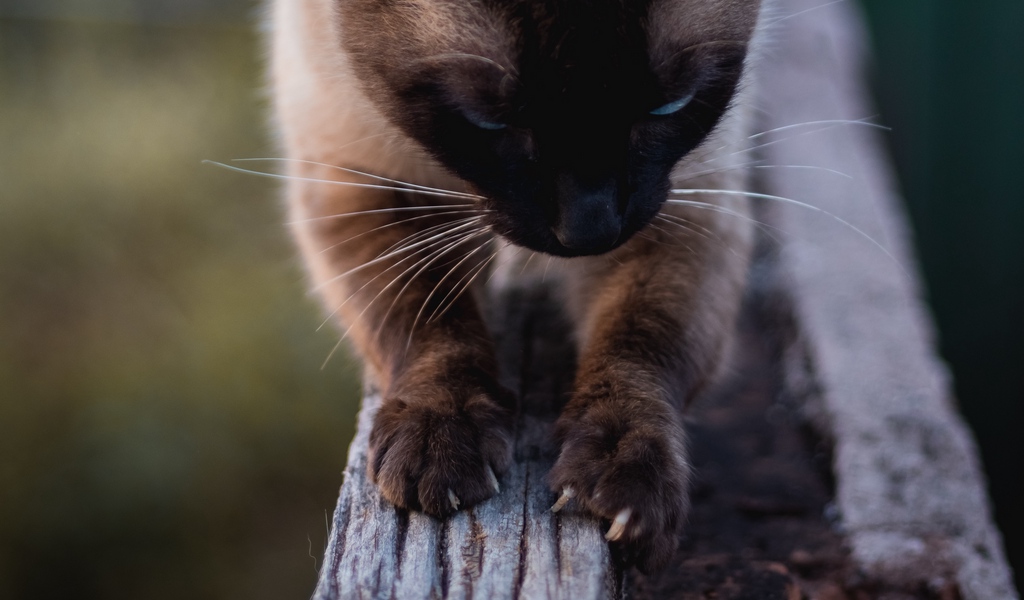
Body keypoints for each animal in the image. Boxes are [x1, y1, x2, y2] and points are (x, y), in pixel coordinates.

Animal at [270, 0, 761, 569]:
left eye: (670, 108)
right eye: (489, 122)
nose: (589, 229)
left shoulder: (686, 213)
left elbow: (642, 349)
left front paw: (623, 485)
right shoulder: (361, 180)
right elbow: (431, 322)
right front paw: (440, 442)